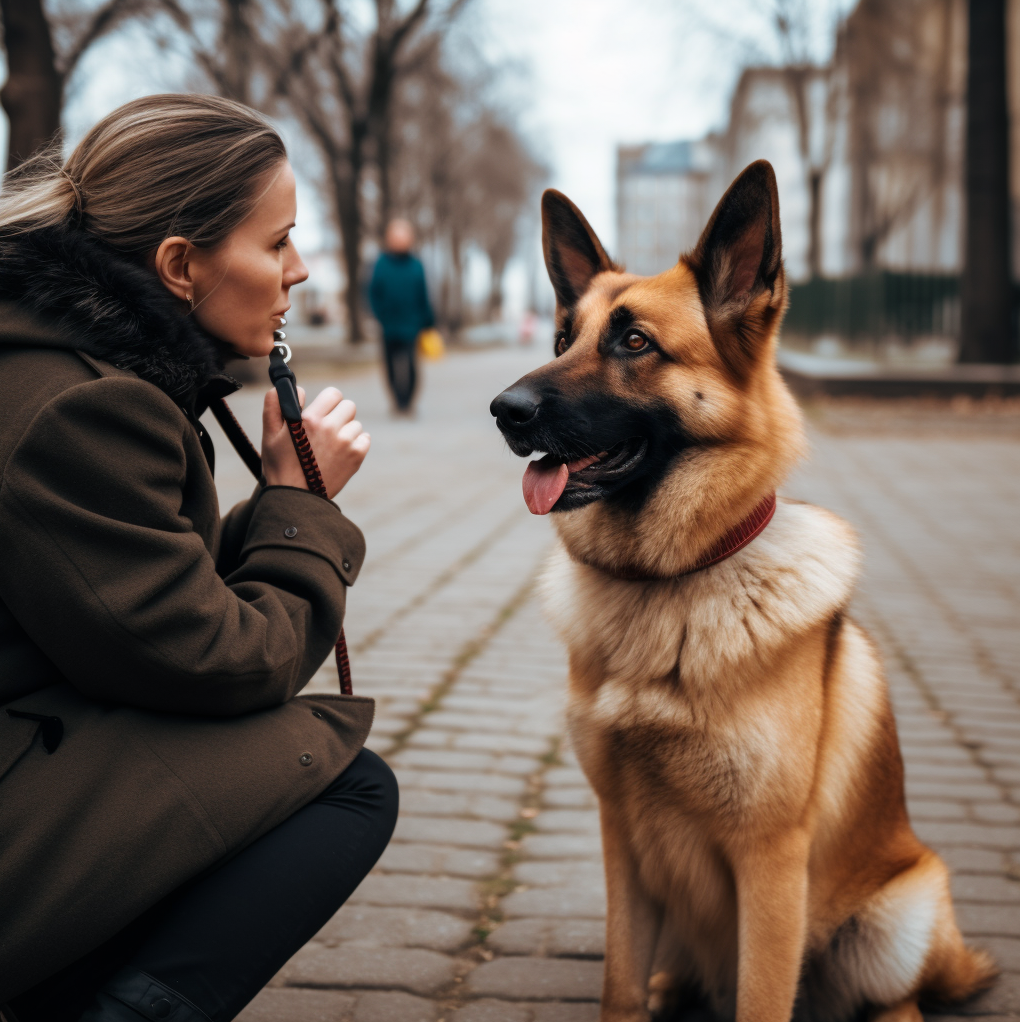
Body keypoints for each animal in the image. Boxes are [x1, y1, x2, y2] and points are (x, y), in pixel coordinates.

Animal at [490, 161, 993, 1021]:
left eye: (634, 341)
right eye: (561, 340)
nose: (504, 410)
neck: (671, 586)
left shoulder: (769, 863)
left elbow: (764, 998)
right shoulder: (621, 842)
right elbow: (619, 985)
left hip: (895, 917)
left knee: (895, 998)